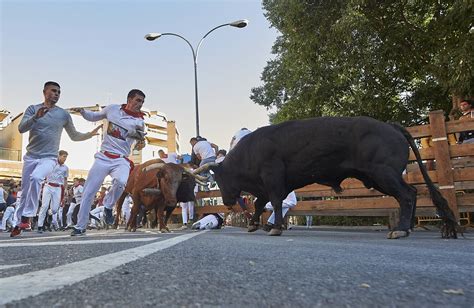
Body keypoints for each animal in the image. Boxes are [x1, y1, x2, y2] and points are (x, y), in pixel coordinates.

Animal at [198, 115, 458, 238]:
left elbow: (275, 202)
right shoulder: (263, 186)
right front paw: (254, 225)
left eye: (220, 179)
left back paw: (401, 229)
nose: (227, 202)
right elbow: (261, 204)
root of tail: (392, 126)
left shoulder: (272, 178)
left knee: (406, 195)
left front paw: (276, 227)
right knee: (411, 193)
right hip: (379, 177)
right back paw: (407, 227)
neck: (248, 152)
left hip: (384, 173)